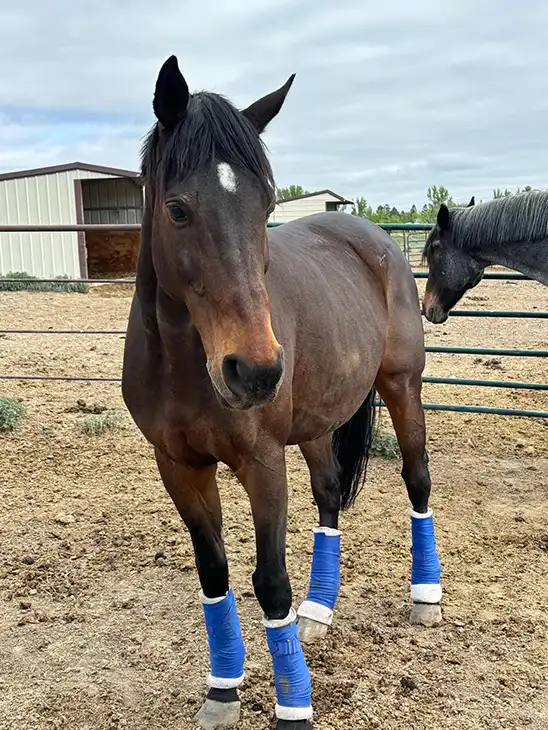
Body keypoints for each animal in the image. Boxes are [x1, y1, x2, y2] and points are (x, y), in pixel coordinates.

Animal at [122, 55, 443, 730]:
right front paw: (223, 689)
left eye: (266, 203)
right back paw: (319, 611)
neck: (186, 363)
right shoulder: (178, 464)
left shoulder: (263, 463)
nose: (257, 372)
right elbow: (213, 570)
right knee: (328, 493)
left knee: (418, 479)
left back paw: (426, 598)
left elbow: (270, 582)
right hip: (318, 422)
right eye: (178, 208)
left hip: (403, 387)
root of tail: (370, 235)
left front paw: (293, 706)